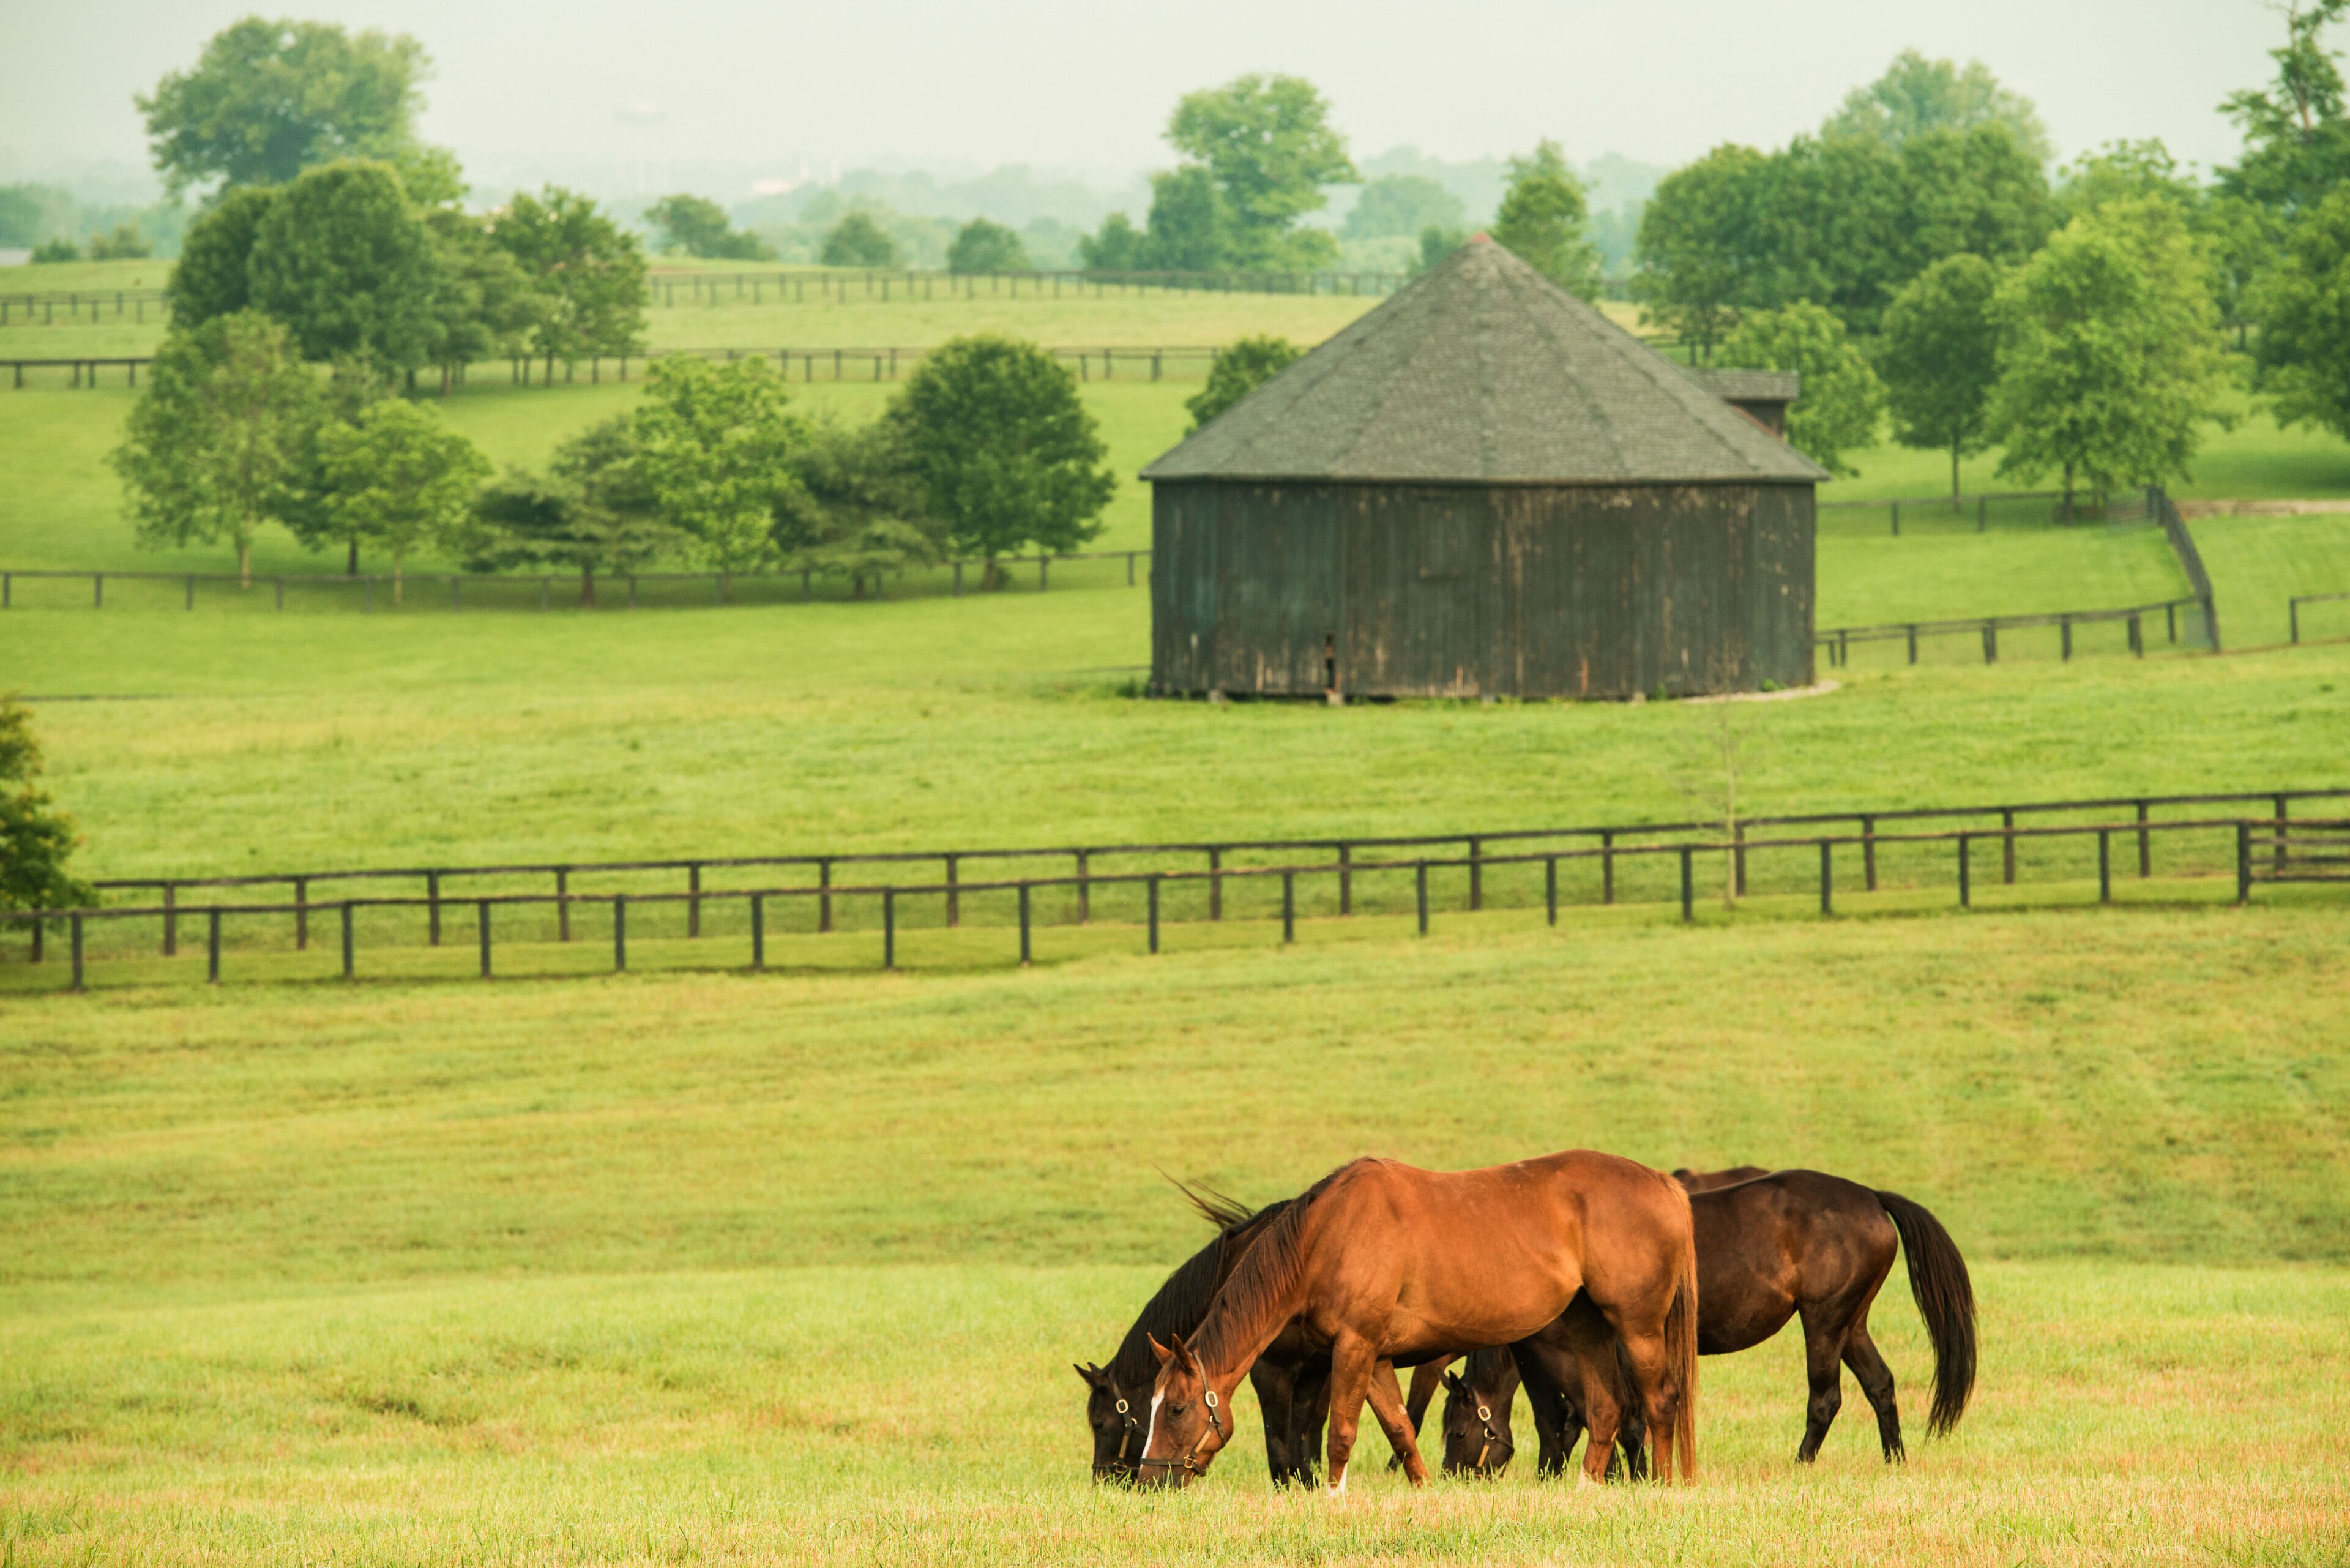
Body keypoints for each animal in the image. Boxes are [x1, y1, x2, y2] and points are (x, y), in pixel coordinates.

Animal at [1135, 1151, 1700, 1492]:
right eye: (1152, 1405)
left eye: (1178, 1409)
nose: (1147, 1479)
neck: (1330, 1233)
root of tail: (1662, 1184)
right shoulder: (1374, 1356)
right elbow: (1401, 1430)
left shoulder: (1355, 1348)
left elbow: (1341, 1432)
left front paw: (1333, 1500)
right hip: (1587, 1327)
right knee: (1606, 1408)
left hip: (1638, 1329)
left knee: (1659, 1402)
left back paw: (1664, 1486)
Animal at [1433, 1168, 1976, 1475]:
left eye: (1457, 1433)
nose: (1452, 1474)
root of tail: (1869, 1195)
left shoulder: (1573, 1353)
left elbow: (1585, 1419)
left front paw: (1624, 1476)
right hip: (1851, 1324)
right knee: (1880, 1385)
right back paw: (1894, 1461)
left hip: (1823, 1323)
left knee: (1826, 1399)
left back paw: (1801, 1465)